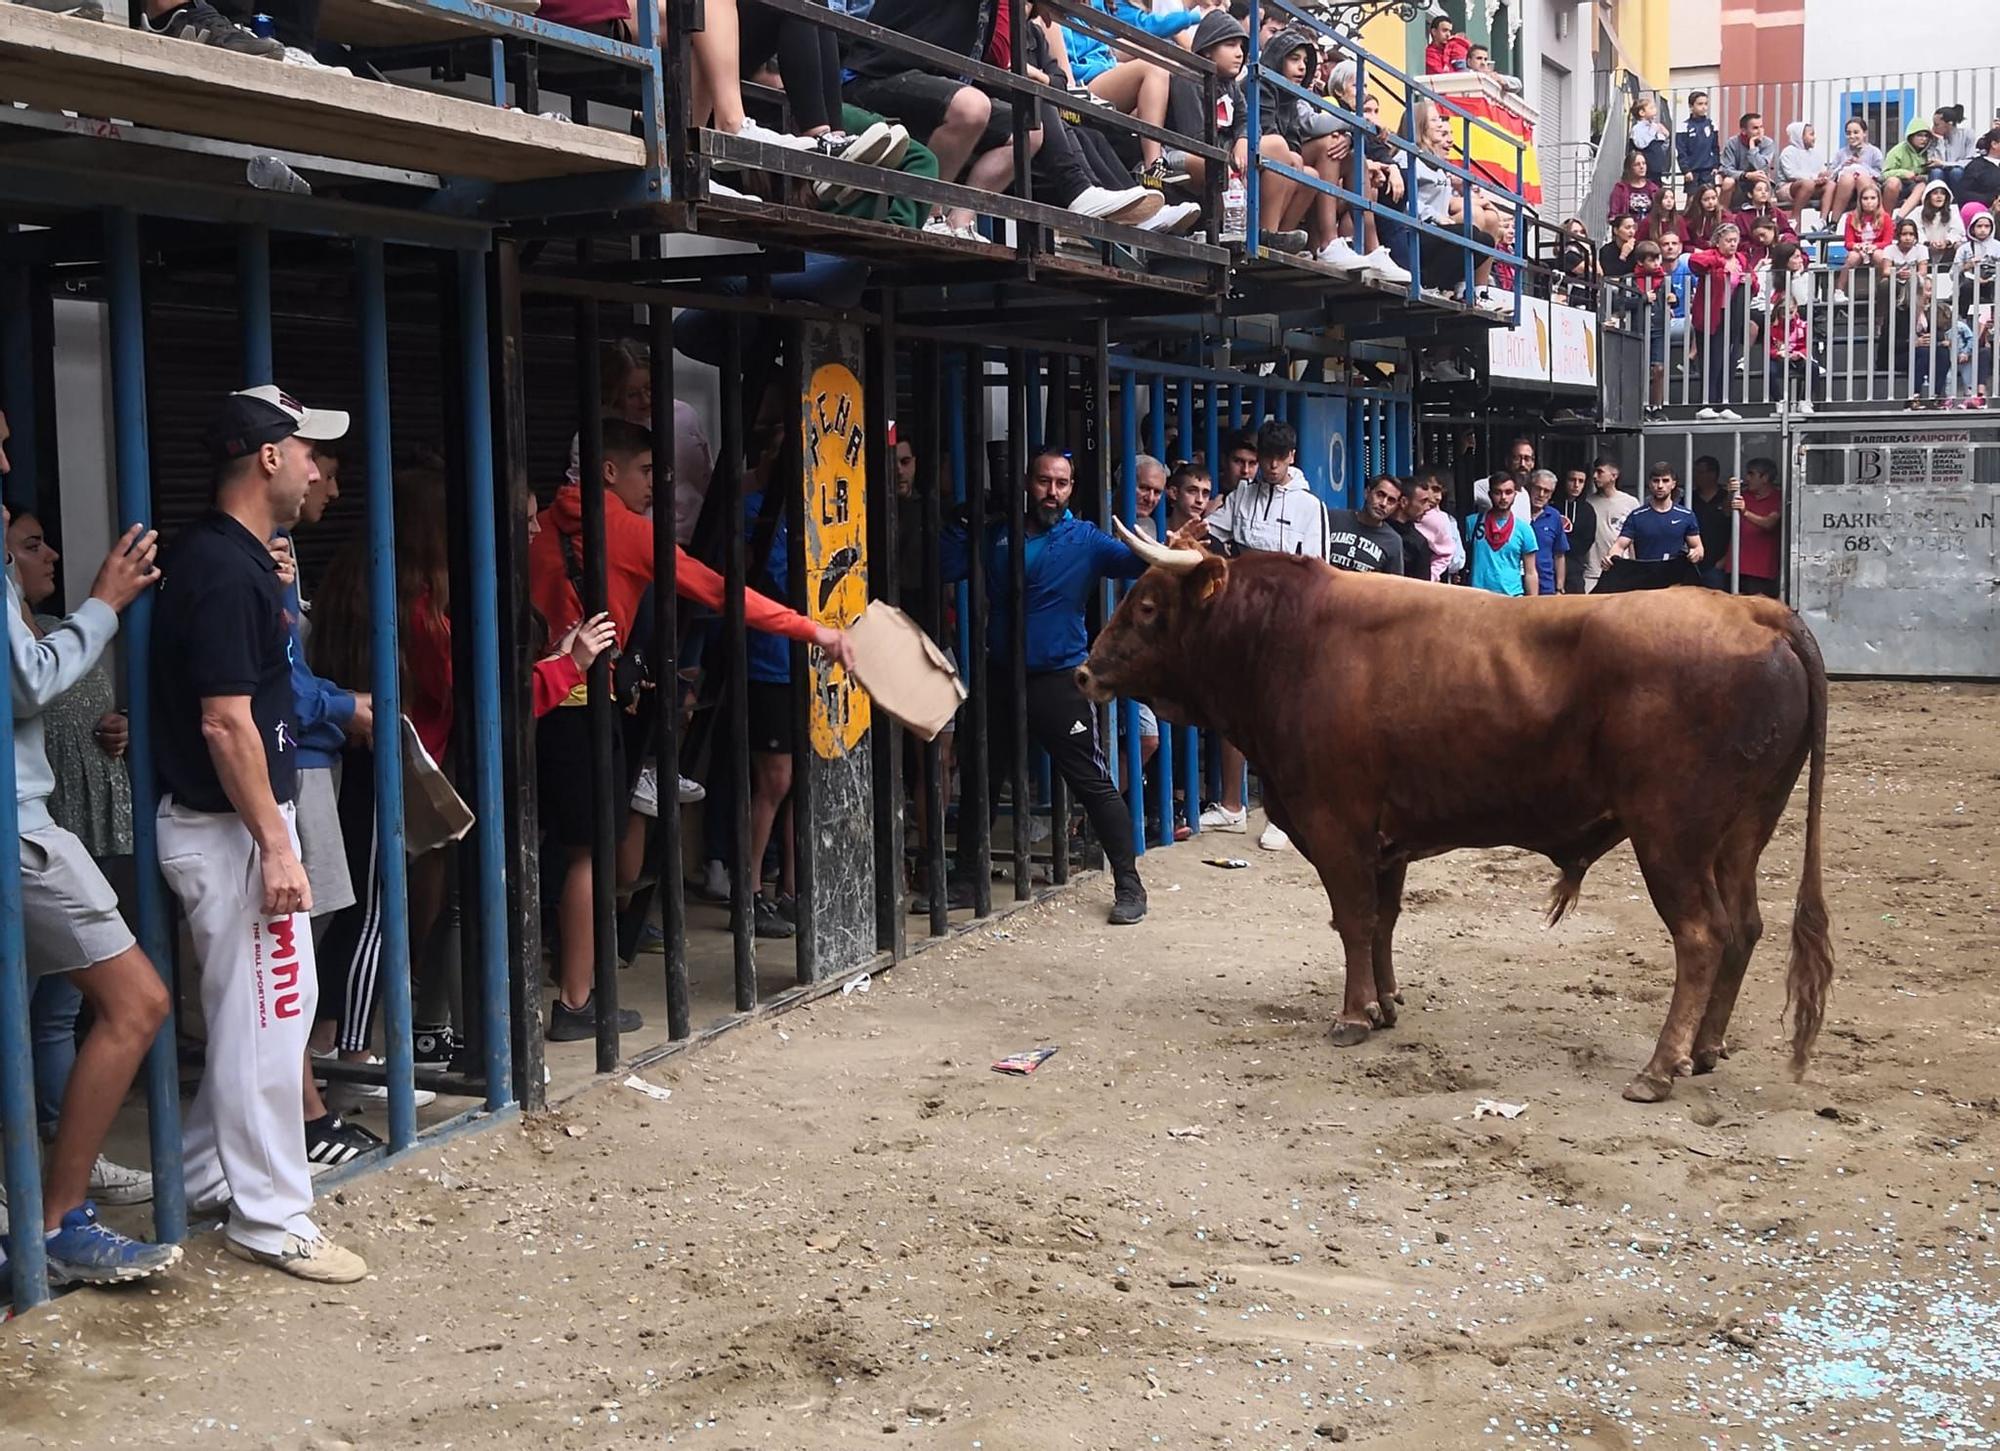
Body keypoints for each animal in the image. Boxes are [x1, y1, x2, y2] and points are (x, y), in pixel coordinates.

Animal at [1080, 523, 1832, 1103]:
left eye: (1147, 606)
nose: (1086, 672)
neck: (1284, 640)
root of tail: (1755, 612)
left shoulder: (1335, 823)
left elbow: (1353, 919)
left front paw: (1351, 1016)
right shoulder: (1387, 840)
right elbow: (1382, 922)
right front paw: (1384, 1005)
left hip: (1671, 837)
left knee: (1702, 935)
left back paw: (1659, 1068)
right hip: (1742, 832)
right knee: (1744, 927)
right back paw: (1704, 1050)